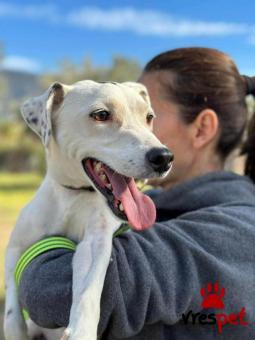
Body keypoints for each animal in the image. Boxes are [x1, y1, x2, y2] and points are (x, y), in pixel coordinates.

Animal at [3, 80, 172, 340]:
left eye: (149, 117)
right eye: (101, 115)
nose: (164, 157)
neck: (73, 195)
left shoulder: (94, 244)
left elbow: (88, 291)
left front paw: (81, 330)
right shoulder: (16, 245)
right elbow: (12, 310)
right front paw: (15, 328)